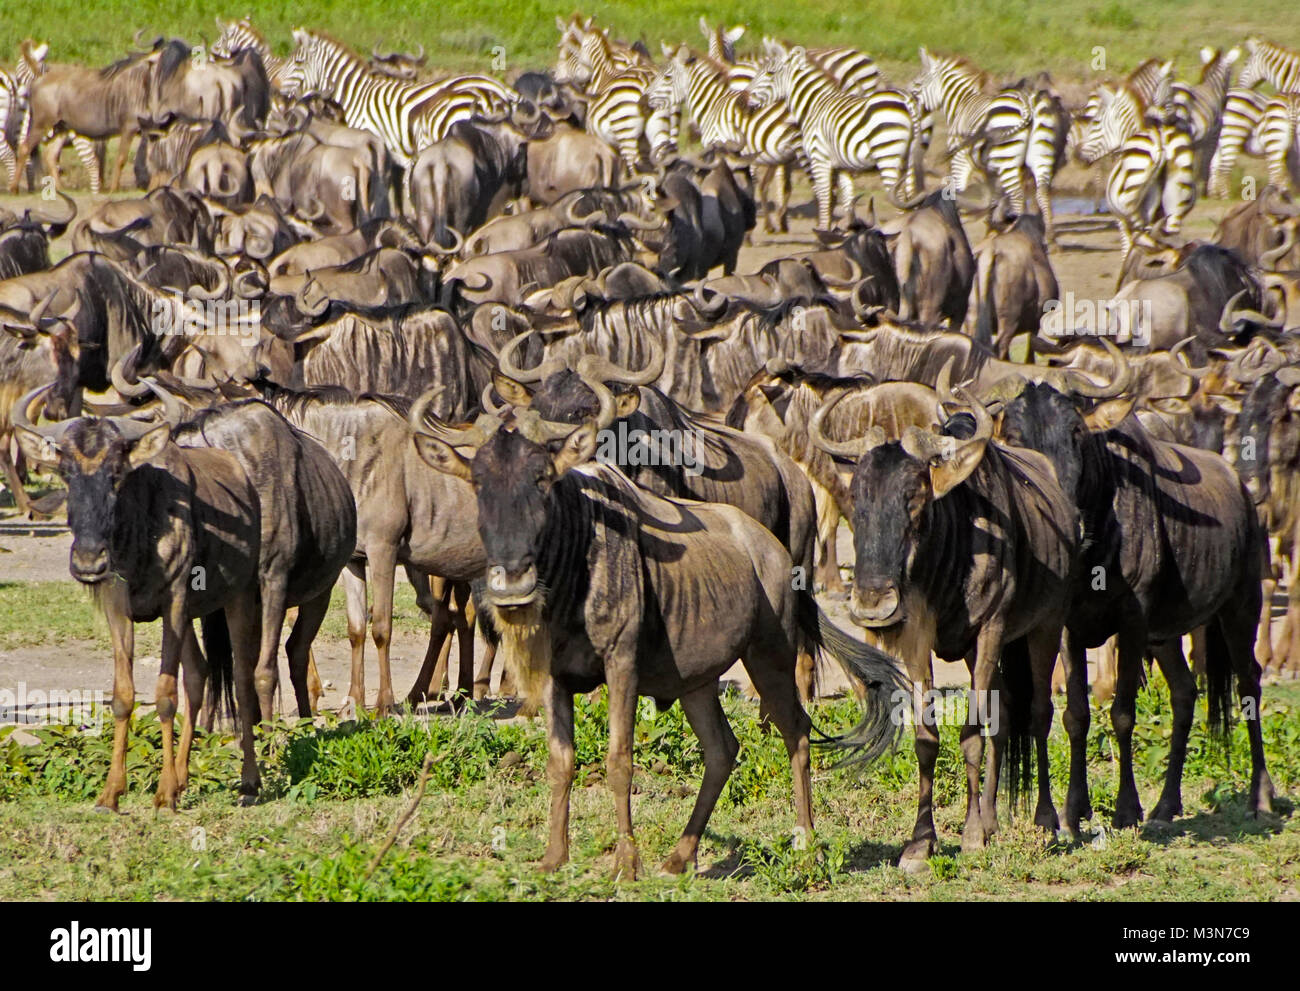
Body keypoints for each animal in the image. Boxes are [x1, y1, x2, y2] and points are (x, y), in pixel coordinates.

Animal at [743, 45, 925, 228]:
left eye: (770, 73)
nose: (743, 98)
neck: (814, 105)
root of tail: (905, 99)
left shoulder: (819, 158)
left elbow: (824, 197)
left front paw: (823, 230)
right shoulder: (843, 165)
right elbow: (847, 200)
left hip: (888, 156)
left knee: (899, 200)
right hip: (908, 158)